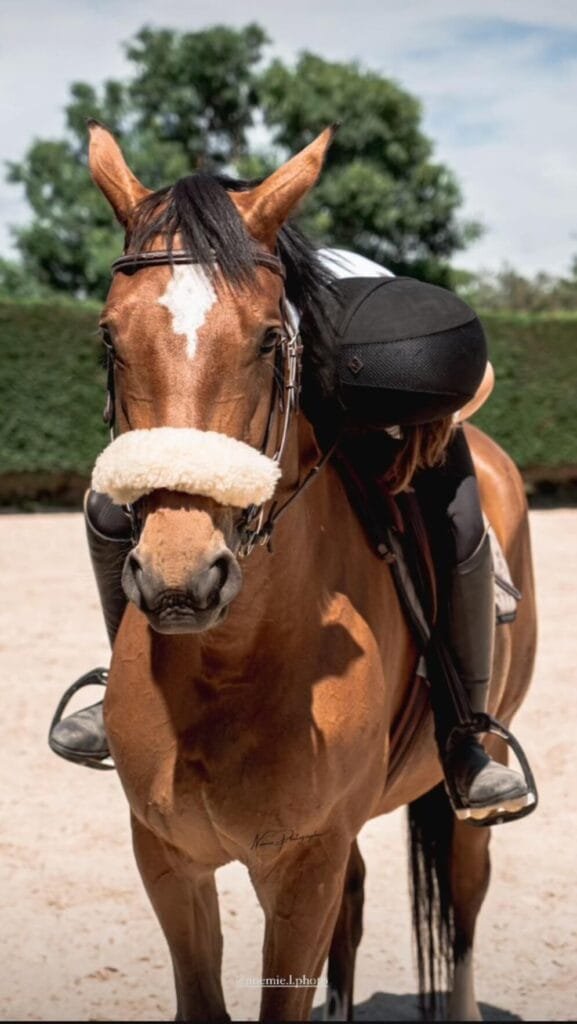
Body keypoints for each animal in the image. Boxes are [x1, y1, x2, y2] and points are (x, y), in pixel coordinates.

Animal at [86, 120, 537, 1022]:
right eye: (110, 338)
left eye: (268, 338)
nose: (182, 577)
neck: (224, 674)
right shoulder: (167, 860)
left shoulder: (301, 867)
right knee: (359, 902)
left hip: (463, 786)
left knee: (463, 898)